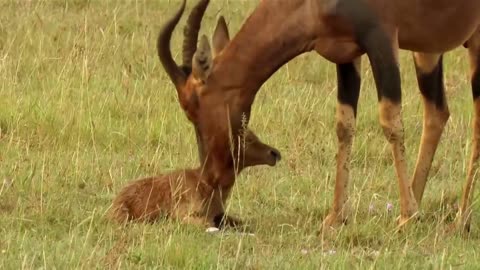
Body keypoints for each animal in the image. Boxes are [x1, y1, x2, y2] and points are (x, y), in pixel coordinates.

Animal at [109, 130, 282, 229]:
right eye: (247, 139)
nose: (275, 153)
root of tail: (116, 202)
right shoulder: (182, 215)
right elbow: (208, 224)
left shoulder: (220, 214)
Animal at [158, 0, 480, 232]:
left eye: (193, 107)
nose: (211, 177)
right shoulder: (348, 54)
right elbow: (344, 125)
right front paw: (336, 217)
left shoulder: (382, 38)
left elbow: (390, 120)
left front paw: (408, 216)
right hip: (429, 49)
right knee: (437, 112)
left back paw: (460, 219)